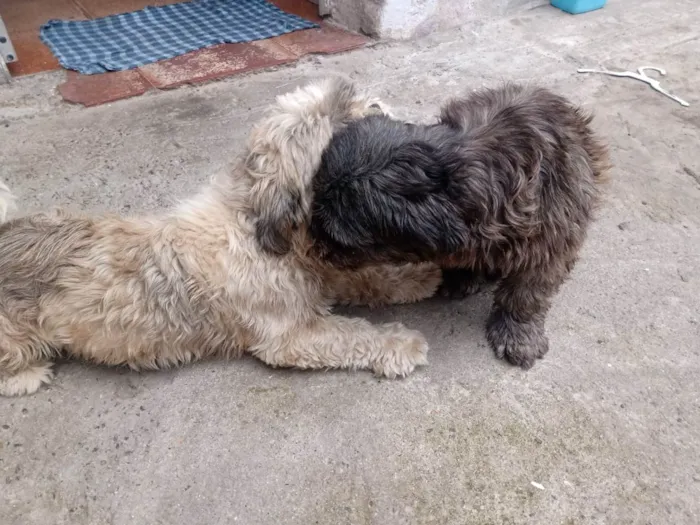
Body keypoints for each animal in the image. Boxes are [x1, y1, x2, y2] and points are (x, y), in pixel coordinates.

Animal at [0, 78, 440, 396]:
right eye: (337, 136)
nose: (376, 106)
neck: (259, 225)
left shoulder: (322, 273)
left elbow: (364, 279)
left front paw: (412, 278)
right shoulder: (293, 336)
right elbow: (353, 334)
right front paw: (398, 343)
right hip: (15, 338)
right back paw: (26, 376)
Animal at [308, 83, 608, 368]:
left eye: (339, 239)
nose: (313, 249)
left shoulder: (551, 240)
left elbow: (527, 293)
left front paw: (517, 333)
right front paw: (462, 275)